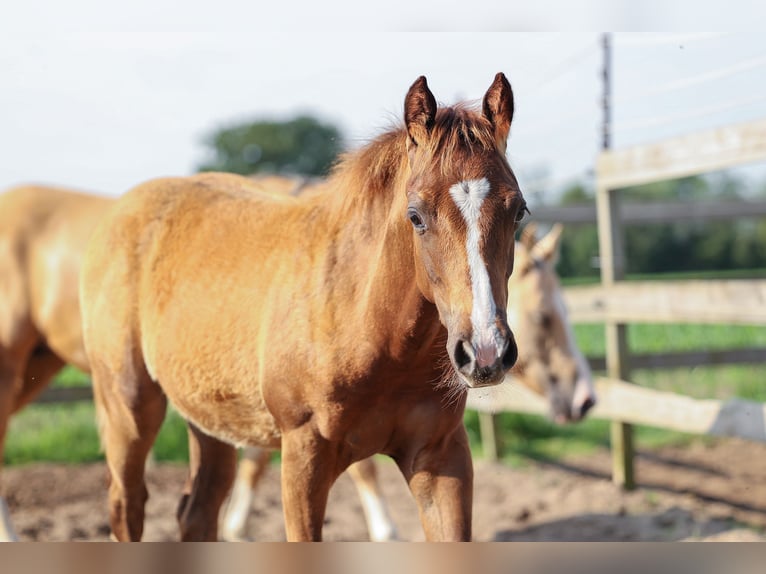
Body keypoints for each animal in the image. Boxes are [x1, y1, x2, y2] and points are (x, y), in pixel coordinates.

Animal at [82, 74, 528, 544]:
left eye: (518, 210)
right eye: (416, 215)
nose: (485, 353)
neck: (370, 331)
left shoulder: (441, 456)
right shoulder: (302, 456)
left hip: (208, 419)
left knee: (197, 512)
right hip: (129, 409)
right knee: (127, 507)